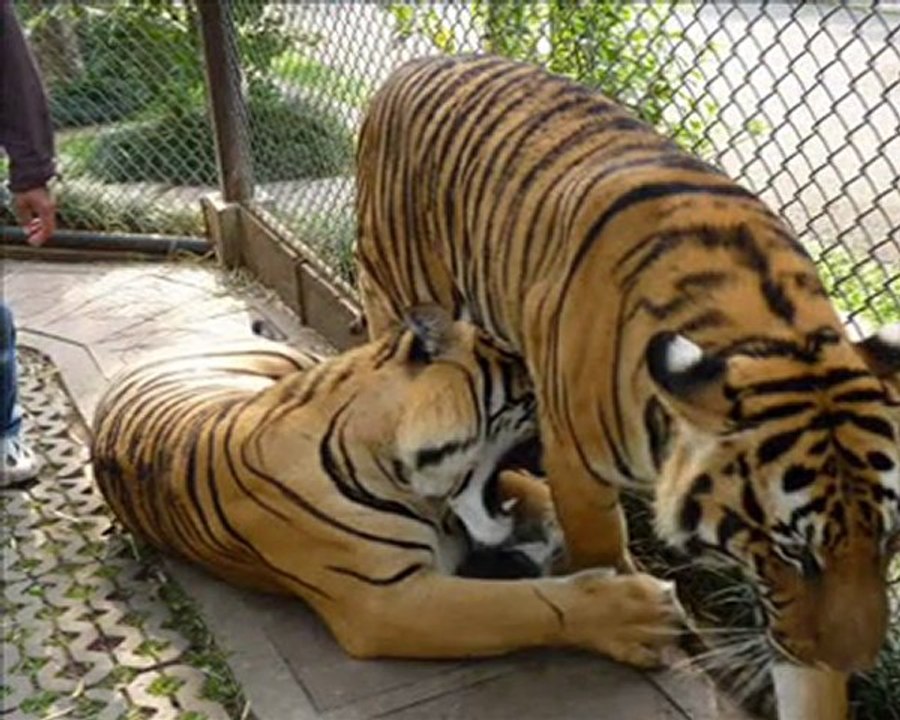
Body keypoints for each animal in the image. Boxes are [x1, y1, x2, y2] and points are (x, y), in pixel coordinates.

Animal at [90, 305, 682, 665]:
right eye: (526, 381)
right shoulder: (384, 604)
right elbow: (524, 606)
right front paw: (640, 614)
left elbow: (522, 493)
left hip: (291, 362)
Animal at [354, 54, 900, 677]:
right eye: (794, 553)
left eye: (891, 541)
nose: (851, 667)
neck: (776, 331)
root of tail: (413, 63)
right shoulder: (576, 464)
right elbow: (602, 551)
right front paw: (629, 613)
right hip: (400, 288)